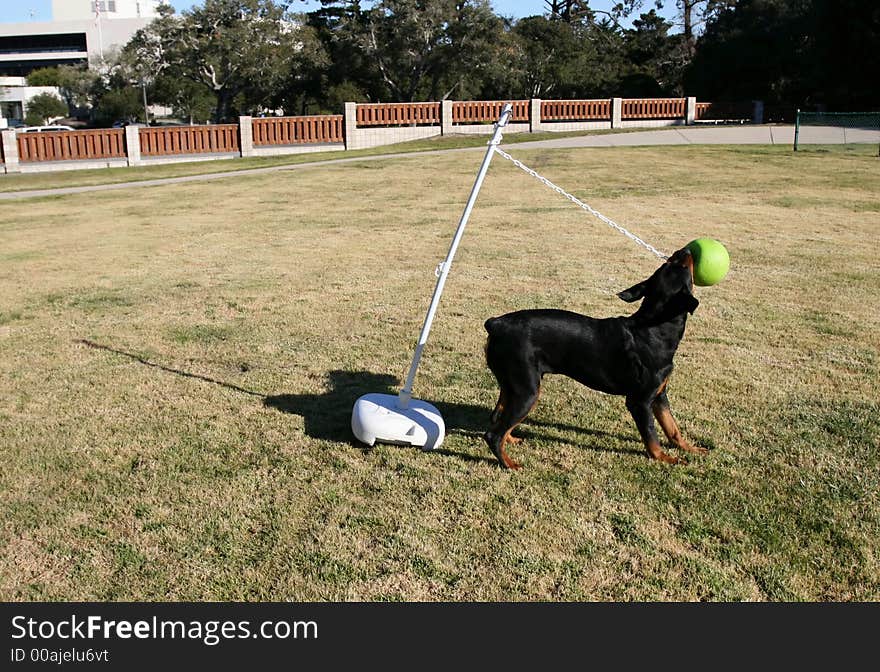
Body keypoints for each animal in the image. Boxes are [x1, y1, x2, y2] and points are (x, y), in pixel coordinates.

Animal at [482, 244, 708, 470]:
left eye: (671, 262)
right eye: (680, 265)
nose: (685, 250)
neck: (654, 329)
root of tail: (496, 324)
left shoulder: (660, 395)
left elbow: (672, 427)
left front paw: (690, 448)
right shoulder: (640, 401)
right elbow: (651, 434)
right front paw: (664, 458)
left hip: (513, 386)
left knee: (497, 417)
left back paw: (511, 440)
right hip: (527, 391)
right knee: (493, 434)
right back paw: (509, 463)